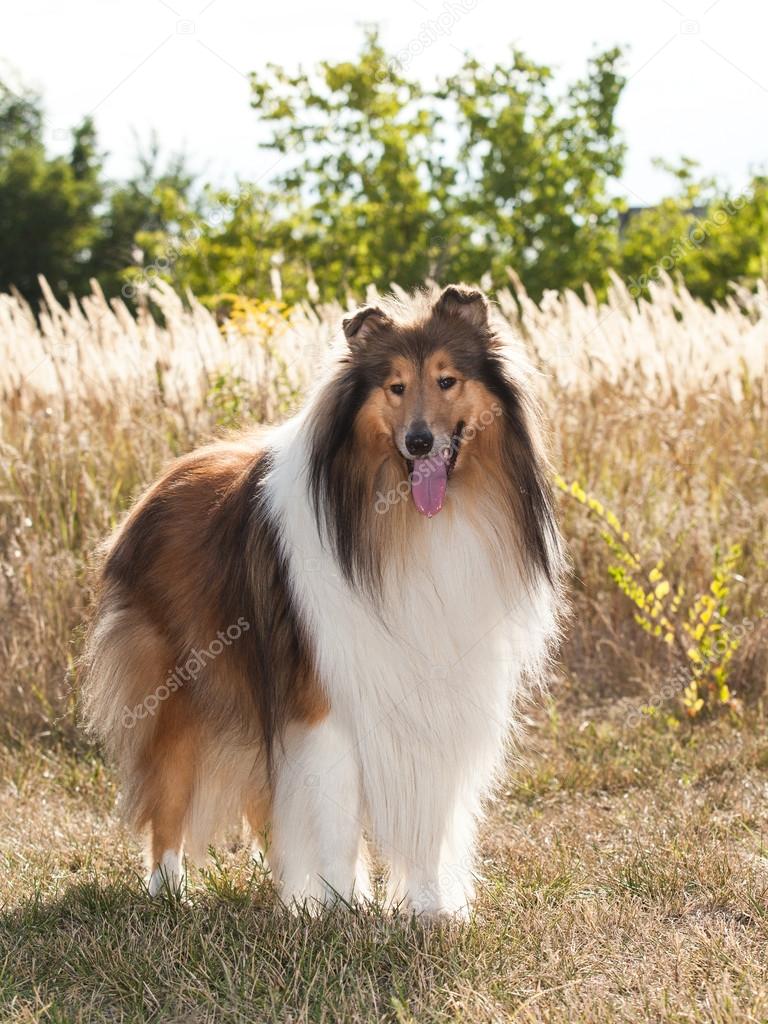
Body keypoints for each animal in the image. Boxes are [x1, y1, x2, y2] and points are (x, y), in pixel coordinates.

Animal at [82, 284, 565, 917]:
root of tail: (156, 488)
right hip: (185, 690)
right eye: (395, 386)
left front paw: (429, 909)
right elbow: (334, 818)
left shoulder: (442, 690)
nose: (419, 442)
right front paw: (341, 908)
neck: (410, 525)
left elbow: (429, 816)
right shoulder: (326, 699)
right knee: (168, 799)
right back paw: (170, 891)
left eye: (447, 380)